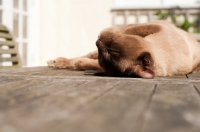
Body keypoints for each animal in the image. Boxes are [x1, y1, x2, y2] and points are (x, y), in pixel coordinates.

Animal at [47, 20, 200, 78]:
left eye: (108, 53)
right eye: (112, 48)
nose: (98, 41)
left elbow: (89, 63)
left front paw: (77, 64)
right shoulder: (156, 26)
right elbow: (131, 28)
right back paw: (54, 62)